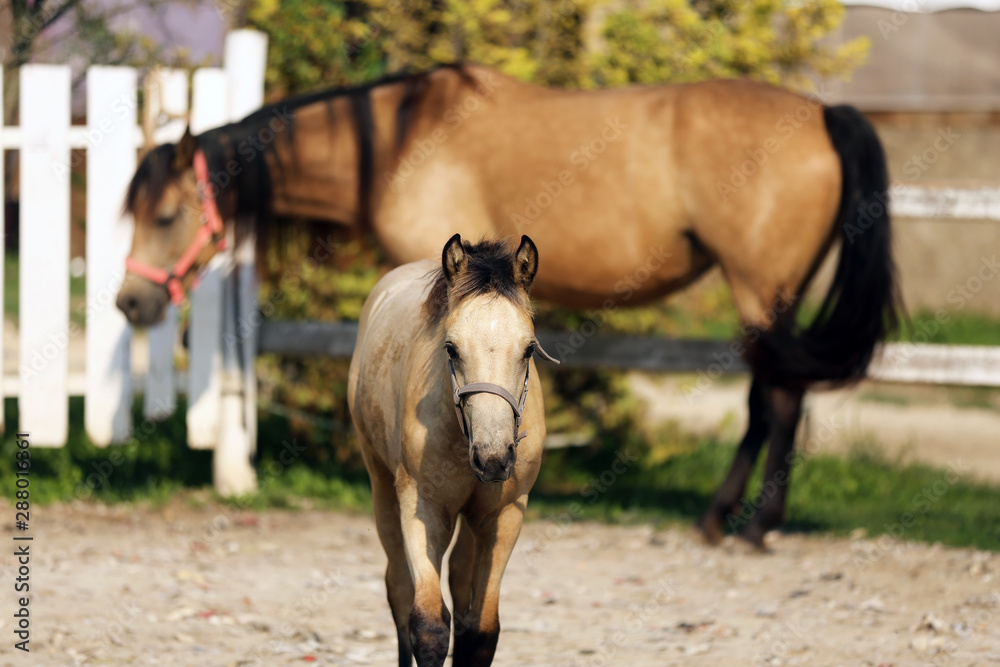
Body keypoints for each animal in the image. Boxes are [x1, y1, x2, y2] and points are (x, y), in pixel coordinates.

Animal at [116, 63, 900, 548]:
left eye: (165, 214)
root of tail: (824, 113)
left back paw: (741, 523)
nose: (130, 301)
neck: (400, 140)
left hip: (761, 291)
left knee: (778, 399)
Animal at [348, 234, 552, 666]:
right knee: (398, 587)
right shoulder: (422, 505)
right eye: (451, 348)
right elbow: (428, 626)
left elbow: (482, 630)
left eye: (529, 349)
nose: (494, 458)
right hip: (382, 486)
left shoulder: (504, 513)